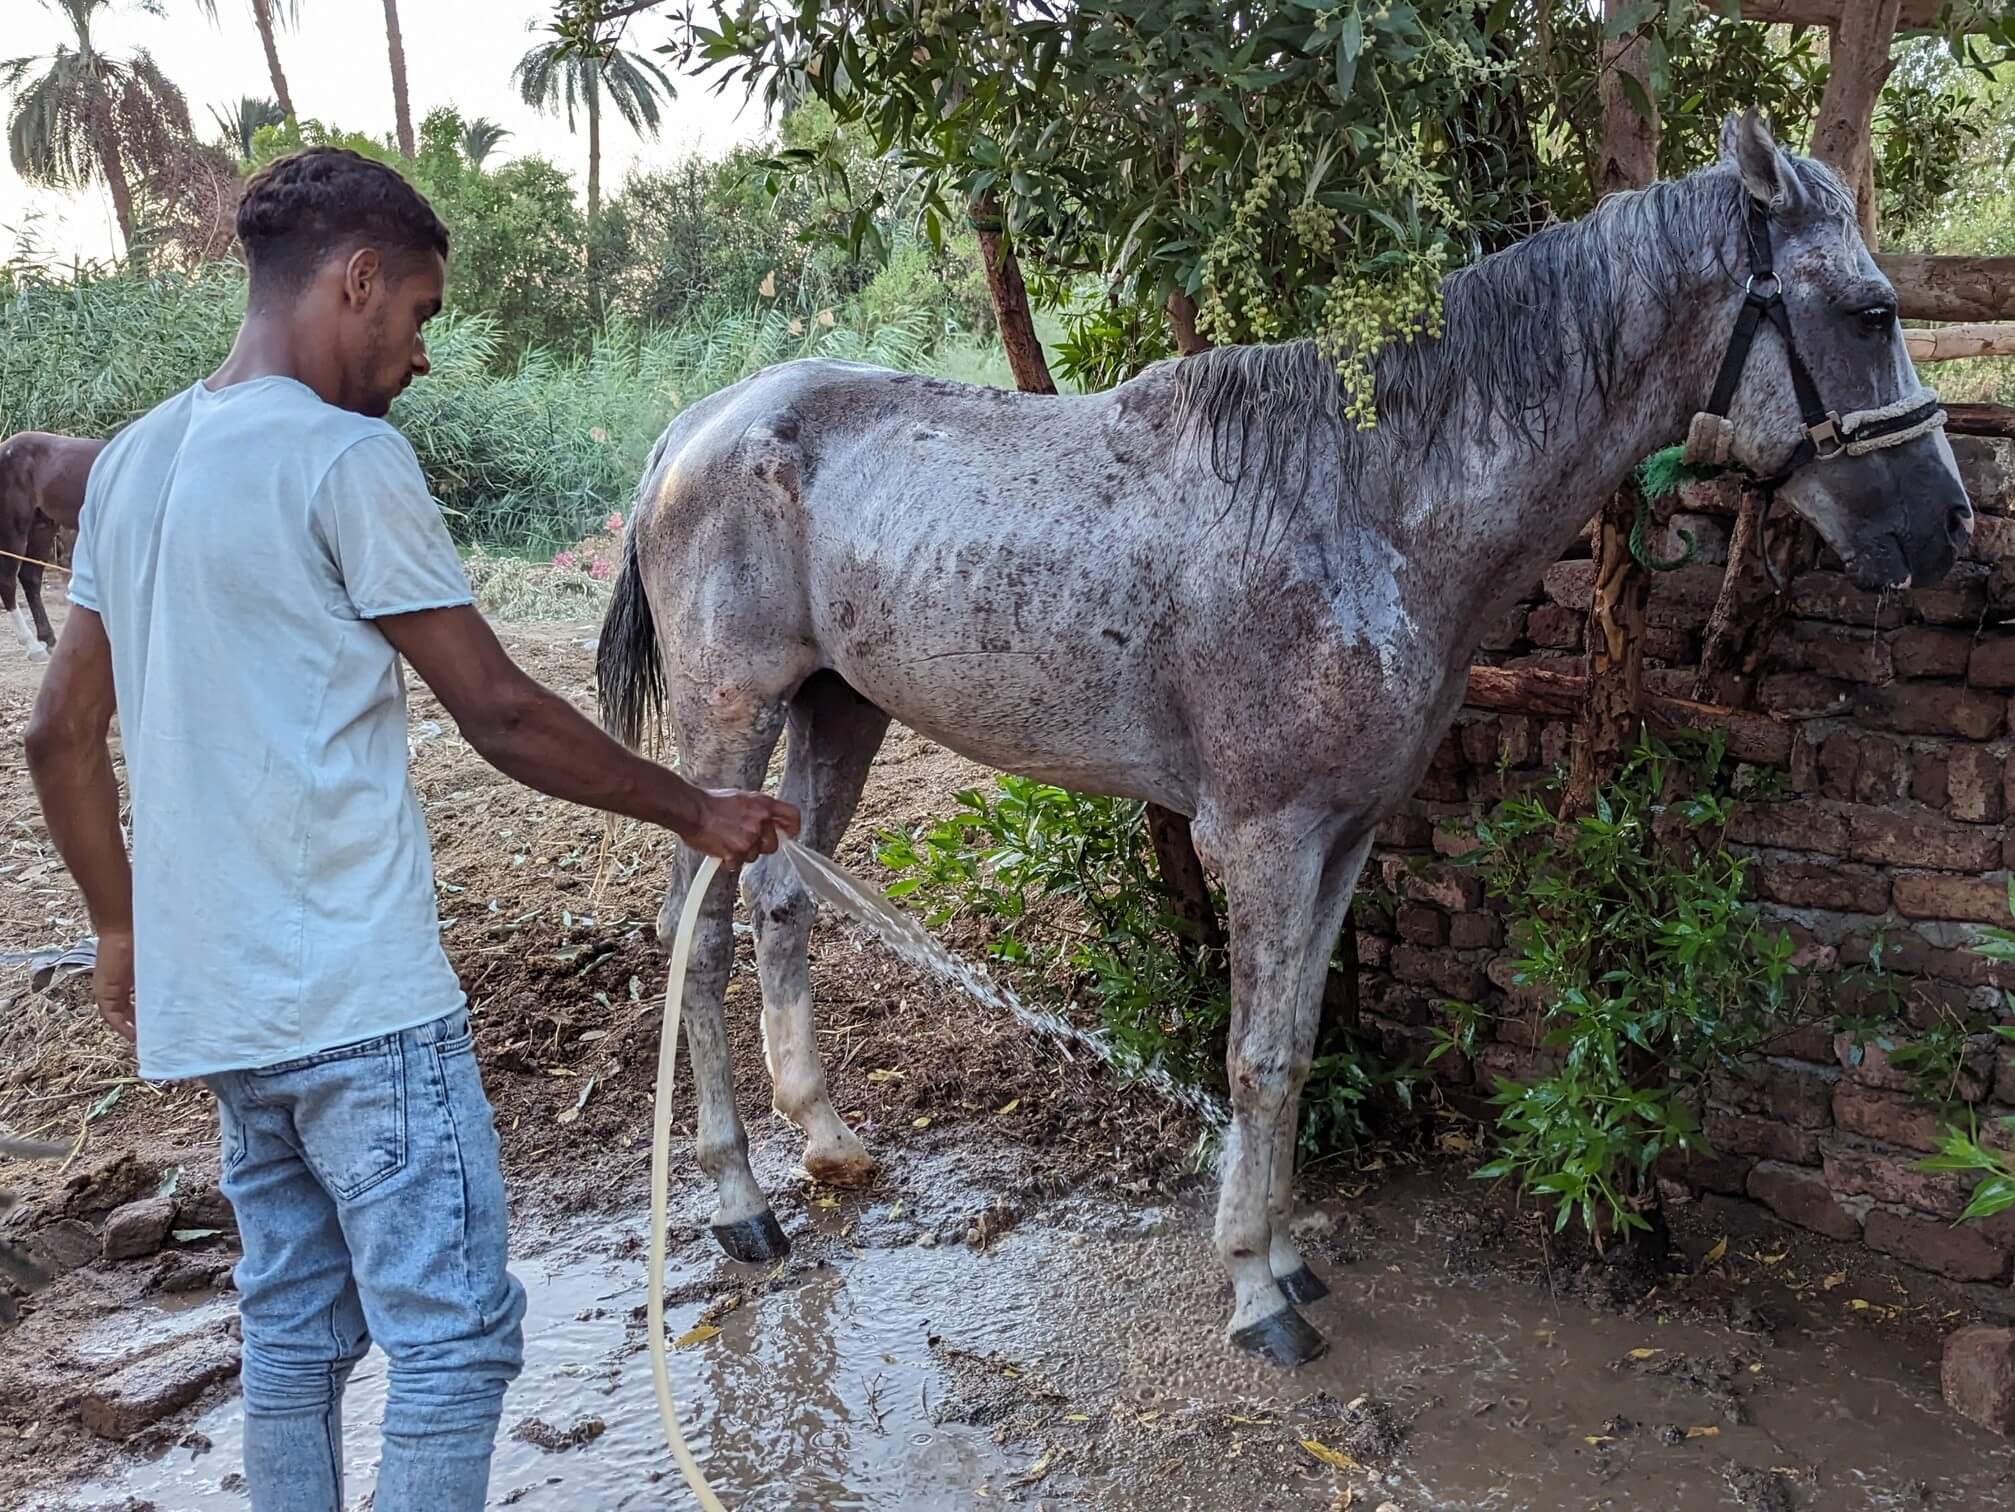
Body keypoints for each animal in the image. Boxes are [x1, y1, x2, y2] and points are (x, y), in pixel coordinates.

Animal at [596, 118, 1966, 1370]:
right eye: (1867, 311)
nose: (1946, 526)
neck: (1361, 497)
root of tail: (694, 428)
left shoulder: (1345, 839)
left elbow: (1298, 1049)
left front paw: (1290, 1259)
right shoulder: (1262, 840)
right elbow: (1252, 1060)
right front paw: (1255, 1293)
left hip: (840, 710)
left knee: (778, 902)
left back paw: (829, 1145)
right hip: (728, 722)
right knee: (694, 932)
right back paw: (740, 1205)